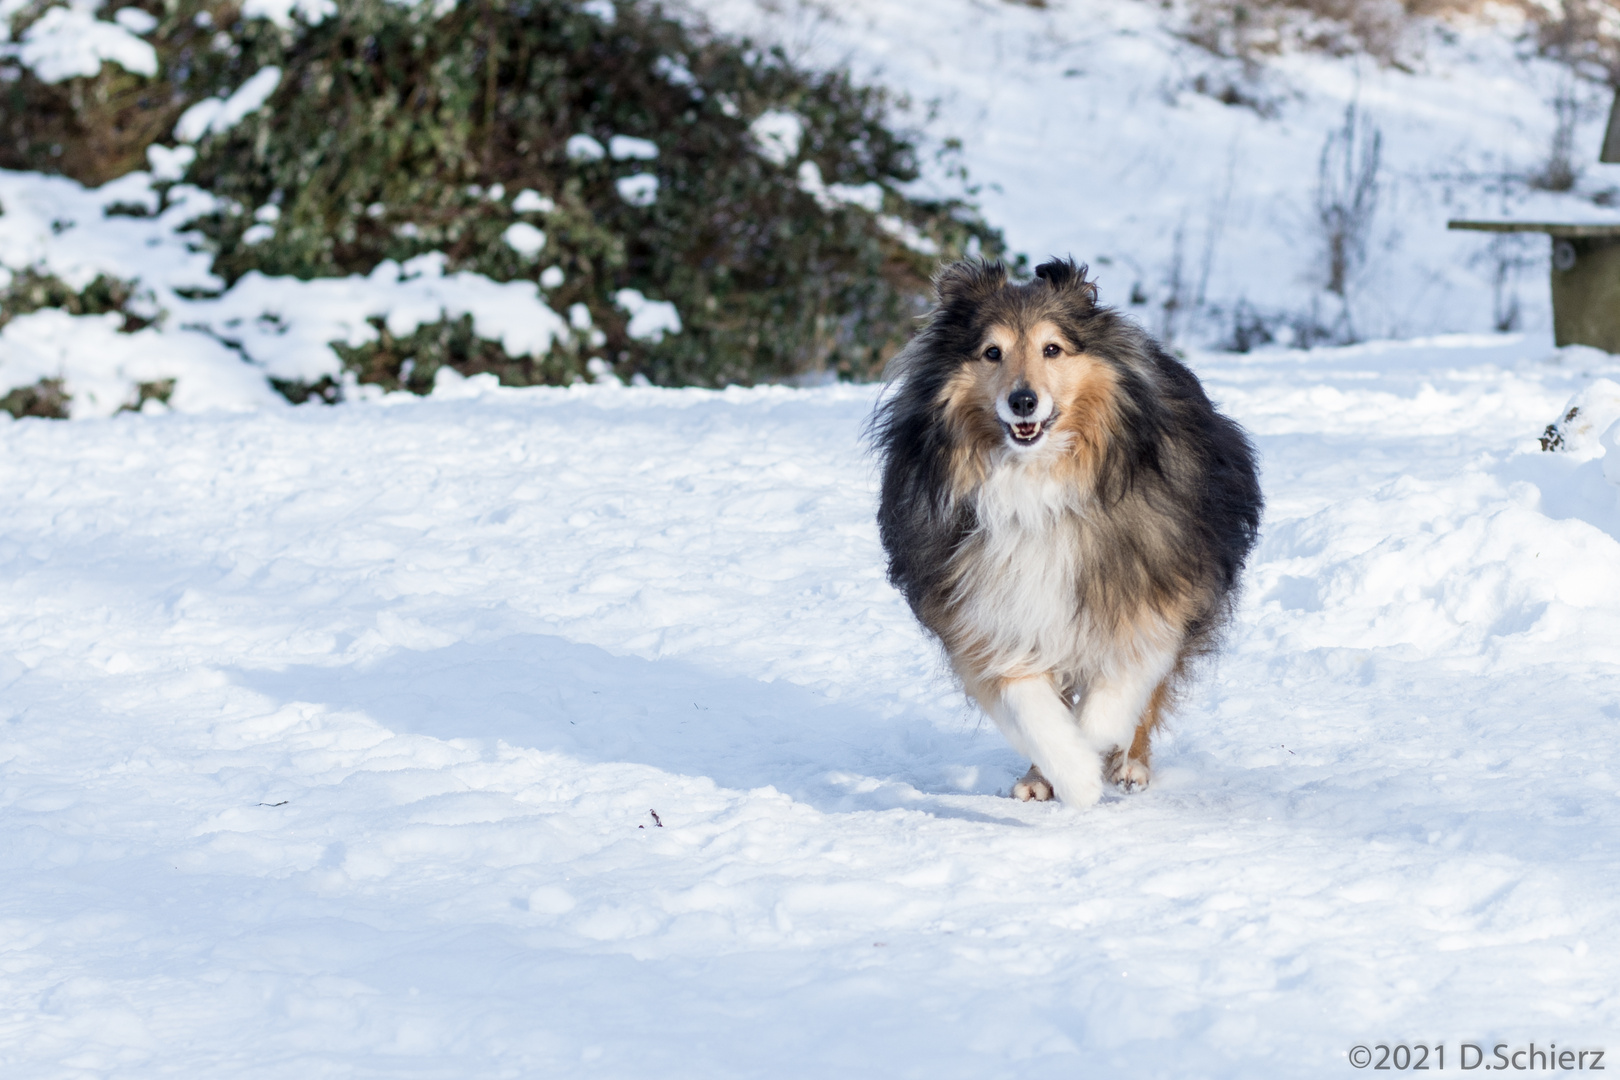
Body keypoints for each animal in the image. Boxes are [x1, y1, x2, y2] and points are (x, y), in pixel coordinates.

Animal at [874, 259, 1263, 803]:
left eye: (1052, 348)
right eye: (992, 352)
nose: (1023, 401)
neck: (1037, 482)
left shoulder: (1154, 588)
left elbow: (1121, 686)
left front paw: (1097, 744)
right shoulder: (990, 613)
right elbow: (1031, 708)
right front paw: (1075, 774)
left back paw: (1130, 766)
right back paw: (1040, 779)